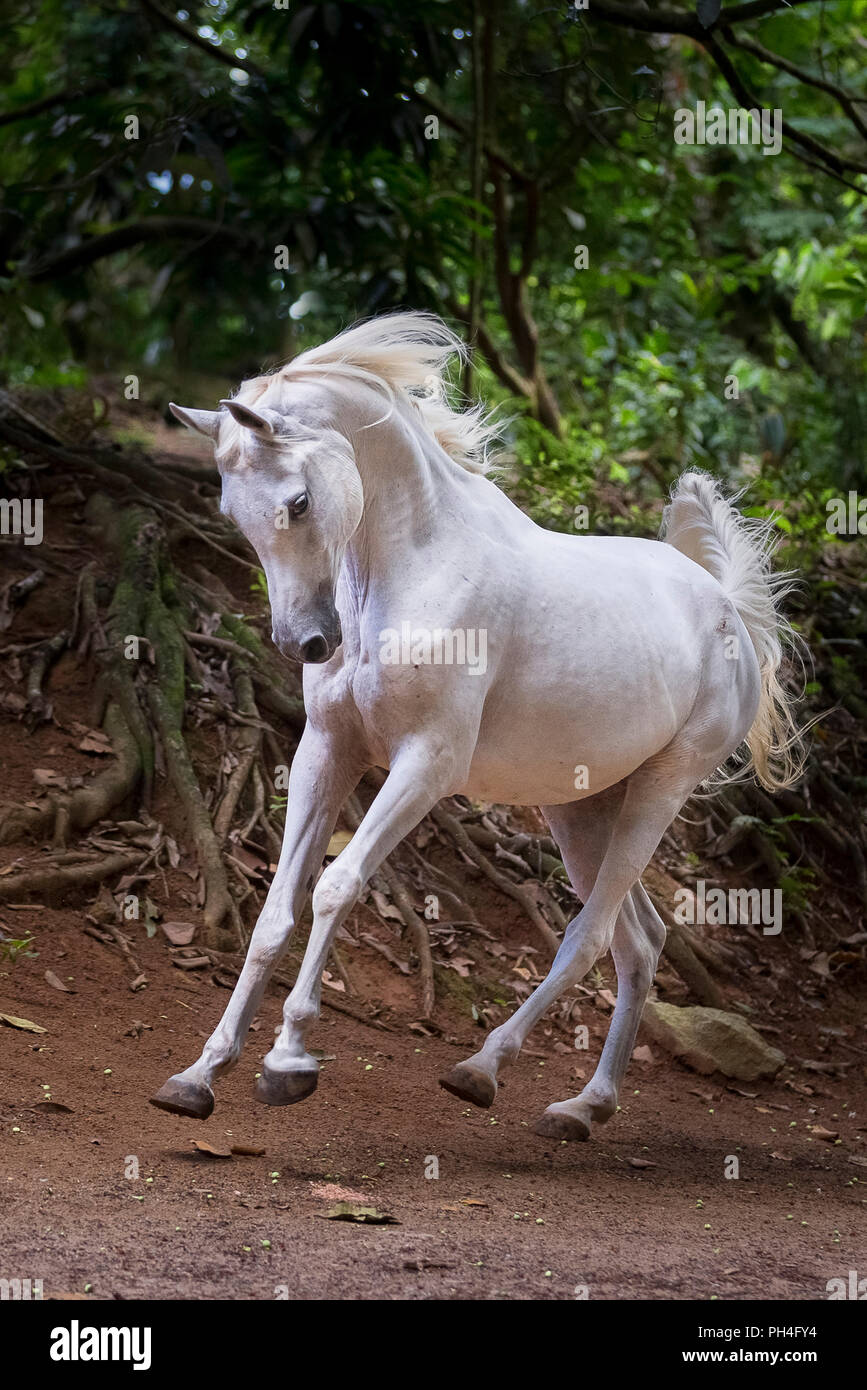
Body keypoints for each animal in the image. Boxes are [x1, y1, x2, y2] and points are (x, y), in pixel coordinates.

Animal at [152, 312, 800, 1139]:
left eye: (296, 502)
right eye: (231, 513)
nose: (308, 643)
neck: (409, 571)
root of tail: (725, 606)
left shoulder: (425, 764)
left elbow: (336, 886)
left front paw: (288, 1063)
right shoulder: (326, 752)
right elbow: (276, 908)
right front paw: (200, 1074)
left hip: (659, 790)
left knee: (591, 936)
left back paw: (482, 1070)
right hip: (580, 808)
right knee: (640, 941)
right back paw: (584, 1107)